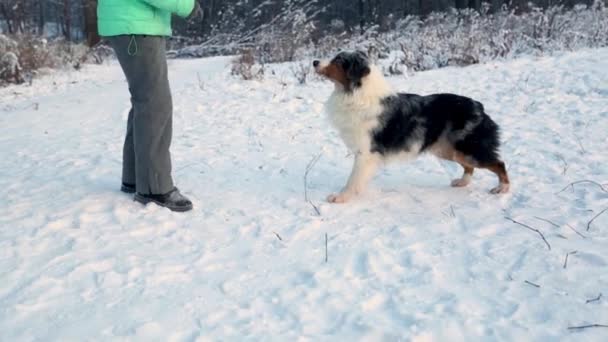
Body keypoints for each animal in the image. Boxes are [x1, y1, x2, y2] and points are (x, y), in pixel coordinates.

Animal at [314, 50, 508, 203]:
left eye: (338, 61)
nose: (314, 62)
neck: (356, 93)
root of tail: (479, 106)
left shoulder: (366, 152)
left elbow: (353, 179)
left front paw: (341, 197)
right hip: (450, 150)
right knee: (469, 167)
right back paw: (462, 182)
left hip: (468, 148)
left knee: (499, 163)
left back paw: (503, 189)